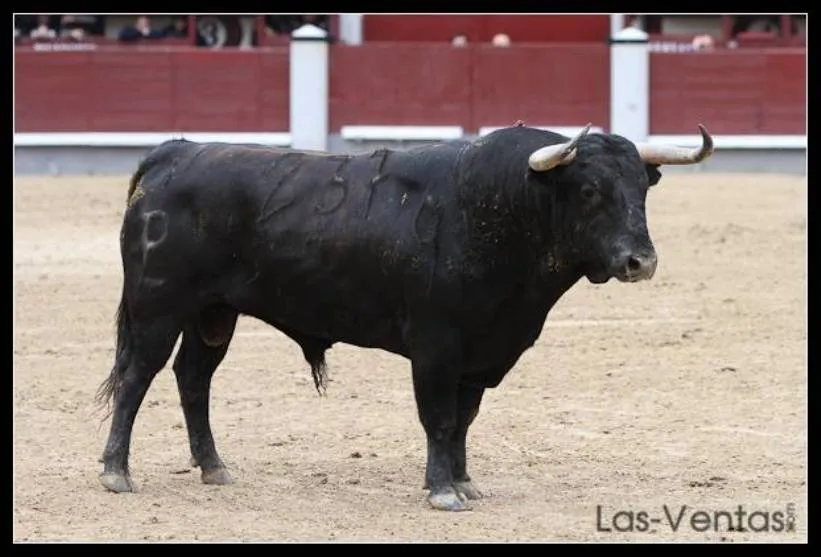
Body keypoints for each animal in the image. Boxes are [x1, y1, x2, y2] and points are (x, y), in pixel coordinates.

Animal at [96, 124, 712, 510]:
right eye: (588, 190)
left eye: (642, 188)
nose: (640, 261)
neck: (500, 211)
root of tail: (174, 154)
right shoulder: (436, 348)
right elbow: (438, 418)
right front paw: (442, 492)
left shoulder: (483, 352)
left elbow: (464, 420)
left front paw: (465, 482)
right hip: (157, 307)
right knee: (137, 377)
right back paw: (116, 472)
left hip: (213, 313)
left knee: (193, 379)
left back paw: (214, 466)